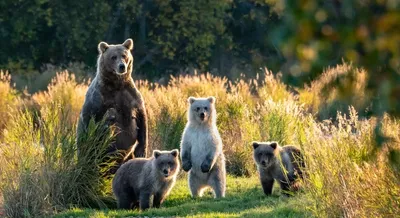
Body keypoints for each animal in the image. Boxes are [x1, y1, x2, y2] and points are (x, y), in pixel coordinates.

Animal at [77, 38, 148, 173]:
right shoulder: (98, 99)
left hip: (127, 158)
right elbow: (94, 121)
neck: (116, 84)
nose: (122, 66)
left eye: (124, 55)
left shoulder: (131, 96)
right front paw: (111, 115)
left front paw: (141, 150)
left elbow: (142, 118)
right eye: (113, 57)